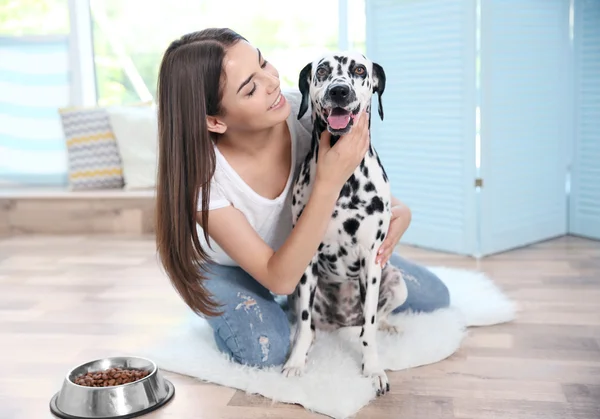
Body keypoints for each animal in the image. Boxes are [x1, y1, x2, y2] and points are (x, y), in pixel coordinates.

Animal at [282, 53, 408, 398]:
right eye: (323, 70)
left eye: (360, 70)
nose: (339, 91)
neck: (344, 182)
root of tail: (341, 323)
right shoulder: (306, 262)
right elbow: (304, 324)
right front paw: (295, 362)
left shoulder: (371, 260)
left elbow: (370, 328)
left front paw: (374, 369)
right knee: (309, 325)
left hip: (396, 281)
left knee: (374, 320)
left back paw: (388, 325)